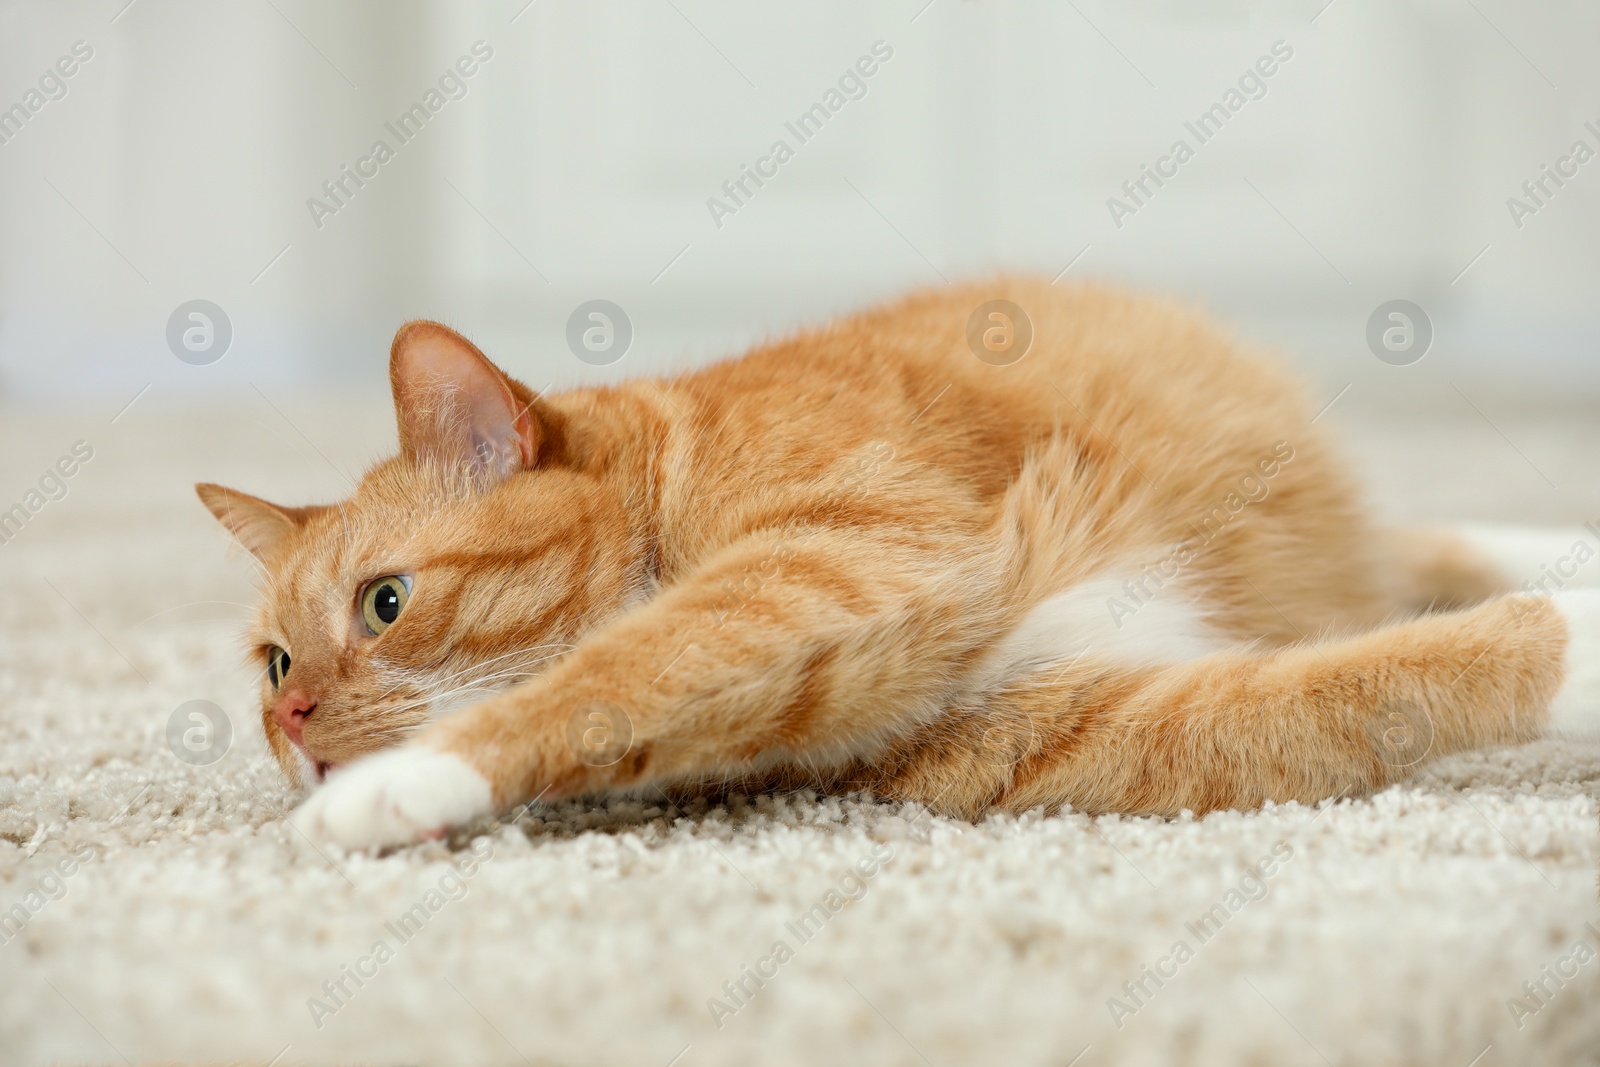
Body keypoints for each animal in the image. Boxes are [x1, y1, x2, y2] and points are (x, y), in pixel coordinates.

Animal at [196, 281, 1600, 851]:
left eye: (385, 603)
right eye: (271, 661)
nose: (292, 719)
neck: (675, 485)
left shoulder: (836, 553)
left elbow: (612, 668)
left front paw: (396, 782)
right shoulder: (1104, 724)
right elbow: (1387, 673)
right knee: (1411, 562)